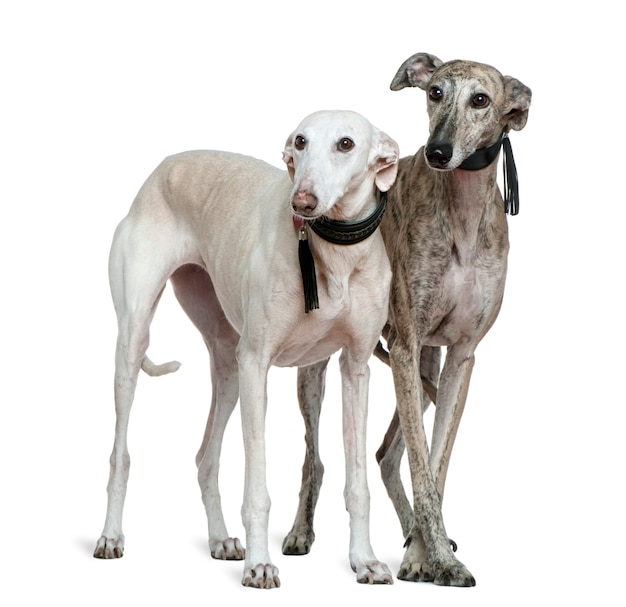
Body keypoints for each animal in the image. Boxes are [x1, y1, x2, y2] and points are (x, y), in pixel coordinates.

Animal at [92, 109, 398, 588]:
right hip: (135, 343)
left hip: (227, 365)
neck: (332, 254)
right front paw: (259, 564)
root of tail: (162, 168)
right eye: (300, 141)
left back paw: (220, 539)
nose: (302, 202)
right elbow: (257, 488)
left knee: (206, 458)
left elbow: (358, 484)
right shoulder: (257, 364)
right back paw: (110, 536)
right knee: (120, 453)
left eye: (346, 144)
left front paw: (364, 560)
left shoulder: (356, 368)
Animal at [282, 54, 532, 588]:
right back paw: (299, 531)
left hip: (423, 362)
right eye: (435, 92)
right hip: (324, 367)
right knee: (314, 457)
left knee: (385, 453)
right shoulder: (405, 343)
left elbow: (434, 464)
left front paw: (425, 553)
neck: (462, 214)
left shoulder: (458, 357)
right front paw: (437, 560)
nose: (438, 152)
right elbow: (421, 465)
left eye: (481, 99)